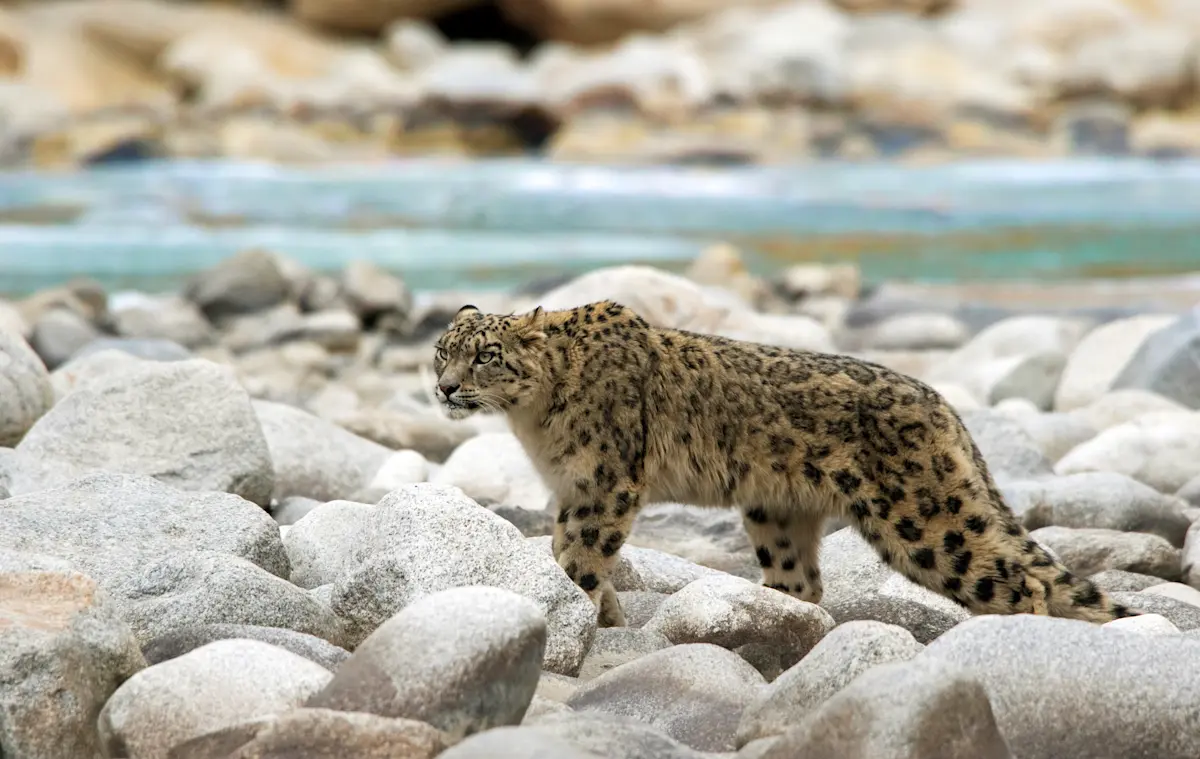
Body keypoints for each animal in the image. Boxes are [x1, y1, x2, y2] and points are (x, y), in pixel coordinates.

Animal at [431, 299, 1136, 628]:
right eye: (442, 350)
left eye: (487, 354)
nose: (444, 388)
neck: (533, 424)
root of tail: (943, 406)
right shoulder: (573, 489)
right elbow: (563, 548)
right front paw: (596, 614)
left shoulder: (605, 485)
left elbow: (579, 557)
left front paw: (577, 612)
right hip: (776, 513)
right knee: (804, 584)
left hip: (929, 528)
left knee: (1023, 584)